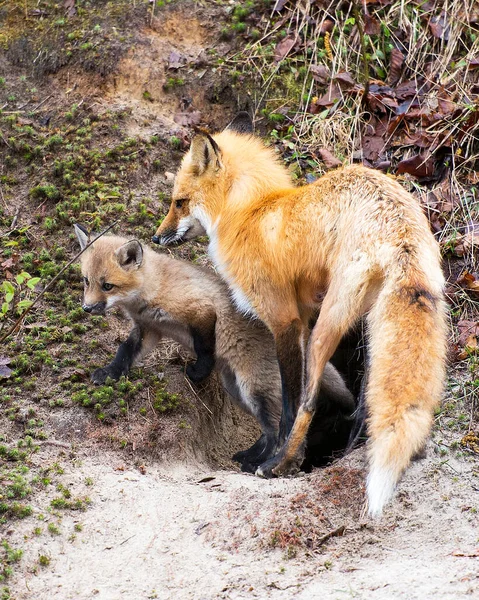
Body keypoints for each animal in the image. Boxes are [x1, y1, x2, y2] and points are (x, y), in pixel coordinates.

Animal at [74, 227, 356, 472]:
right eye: (86, 281)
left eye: (107, 285)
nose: (86, 308)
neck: (154, 286)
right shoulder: (148, 329)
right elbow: (125, 352)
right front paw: (109, 373)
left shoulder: (201, 311)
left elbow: (204, 348)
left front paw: (198, 372)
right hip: (237, 392)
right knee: (268, 431)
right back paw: (251, 456)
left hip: (255, 389)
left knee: (280, 428)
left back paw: (262, 464)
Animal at [155, 112, 450, 516]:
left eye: (180, 202)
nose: (156, 237)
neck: (251, 211)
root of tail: (399, 224)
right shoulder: (304, 317)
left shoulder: (285, 320)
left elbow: (288, 403)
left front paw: (274, 458)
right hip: (365, 320)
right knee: (365, 397)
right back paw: (347, 449)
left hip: (328, 324)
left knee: (311, 402)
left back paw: (280, 465)